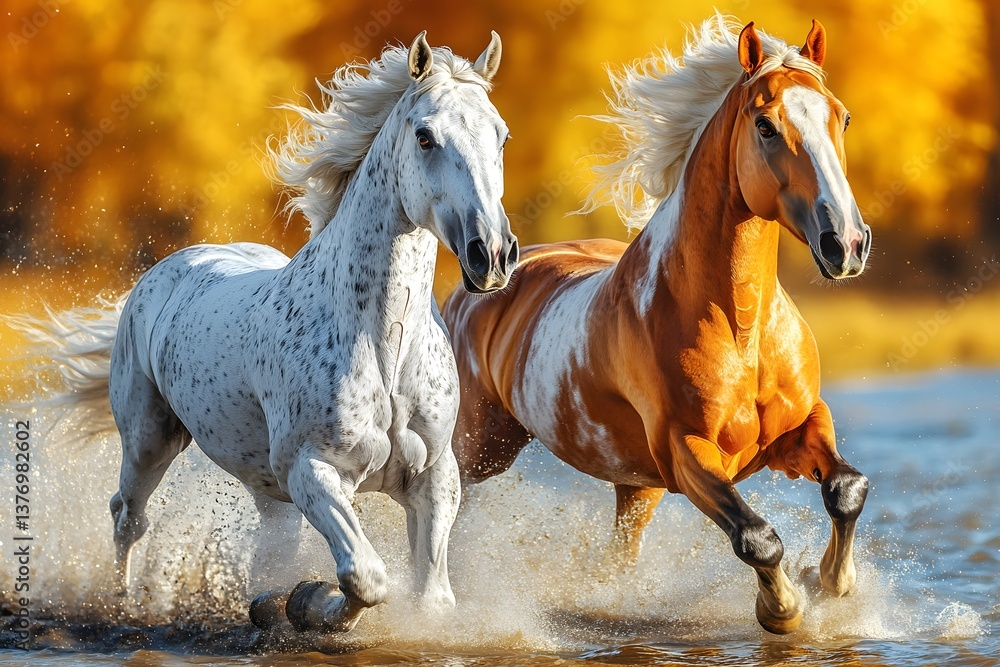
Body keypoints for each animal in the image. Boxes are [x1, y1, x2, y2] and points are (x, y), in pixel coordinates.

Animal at [17, 31, 517, 633]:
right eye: (425, 137)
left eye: (501, 134)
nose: (491, 254)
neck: (383, 346)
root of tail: (170, 268)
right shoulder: (312, 472)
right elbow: (365, 577)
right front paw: (310, 603)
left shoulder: (434, 476)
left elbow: (432, 597)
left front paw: (296, 602)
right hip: (149, 439)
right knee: (127, 517)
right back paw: (125, 606)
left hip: (262, 483)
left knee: (265, 546)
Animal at [442, 16, 871, 634]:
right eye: (766, 125)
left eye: (842, 116)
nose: (848, 245)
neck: (740, 330)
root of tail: (477, 282)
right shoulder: (685, 452)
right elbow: (756, 537)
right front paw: (783, 608)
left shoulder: (799, 426)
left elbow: (846, 488)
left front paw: (831, 582)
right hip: (479, 448)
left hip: (634, 487)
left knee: (618, 557)